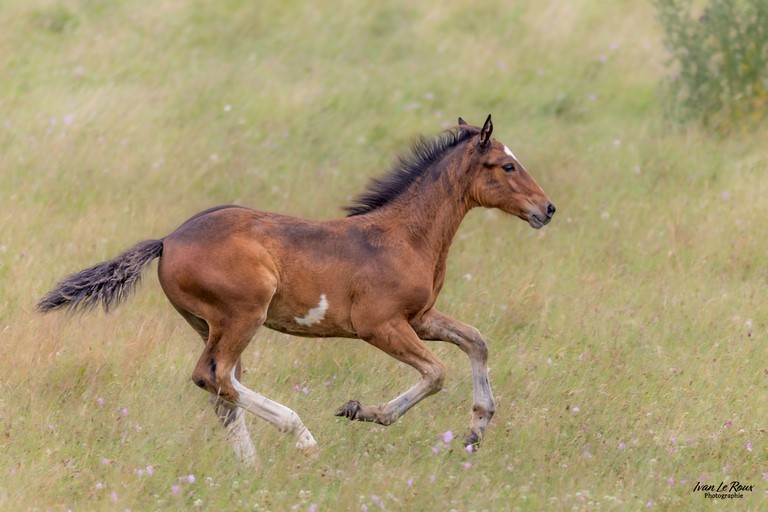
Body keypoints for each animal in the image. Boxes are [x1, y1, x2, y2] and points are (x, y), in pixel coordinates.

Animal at [37, 115, 555, 465]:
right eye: (506, 166)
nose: (547, 209)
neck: (405, 236)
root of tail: (168, 240)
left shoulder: (420, 318)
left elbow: (476, 341)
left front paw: (476, 429)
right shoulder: (380, 325)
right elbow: (436, 373)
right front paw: (360, 410)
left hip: (209, 325)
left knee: (222, 389)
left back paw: (251, 469)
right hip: (242, 316)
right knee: (214, 377)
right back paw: (300, 436)